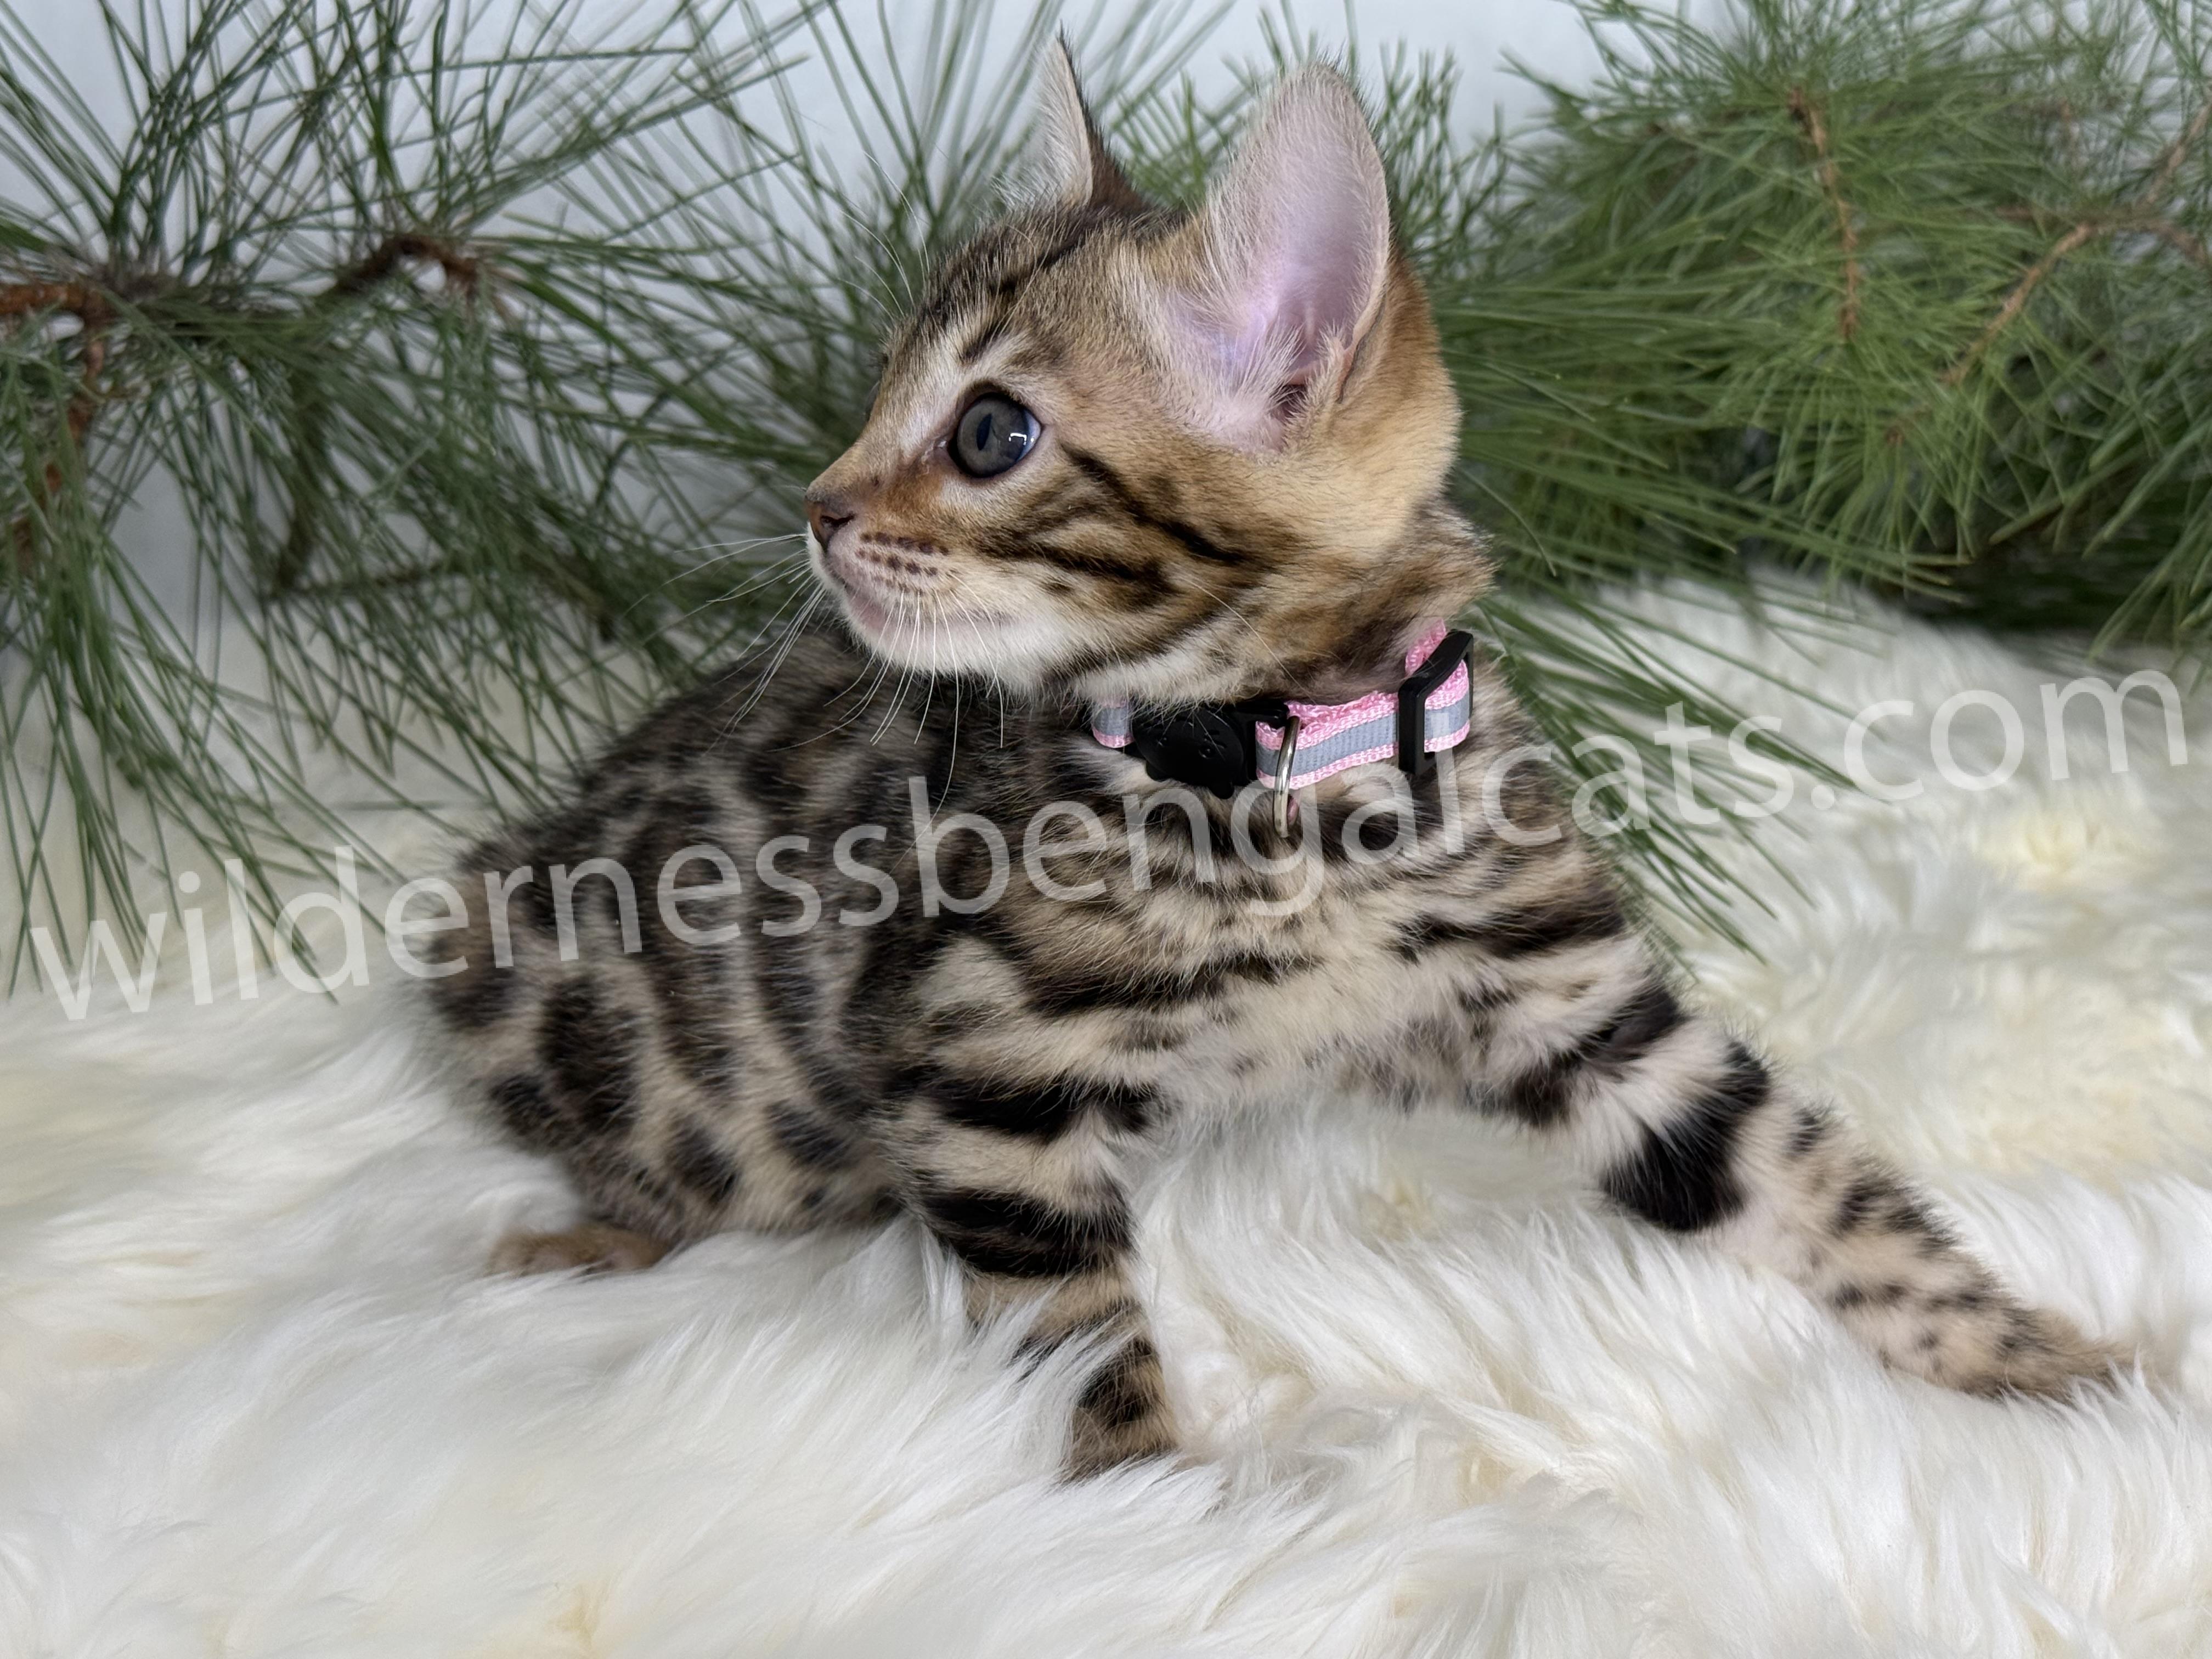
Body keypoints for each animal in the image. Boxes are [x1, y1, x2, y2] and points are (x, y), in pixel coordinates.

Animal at [422, 44, 2121, 1474]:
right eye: (885, 395)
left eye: (988, 434)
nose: (818, 507)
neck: (1286, 782)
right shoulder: (980, 1077)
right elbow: (1079, 1337)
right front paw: (1163, 1513)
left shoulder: (1588, 1009)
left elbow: (1813, 1181)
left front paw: (2055, 1371)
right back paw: (583, 1247)